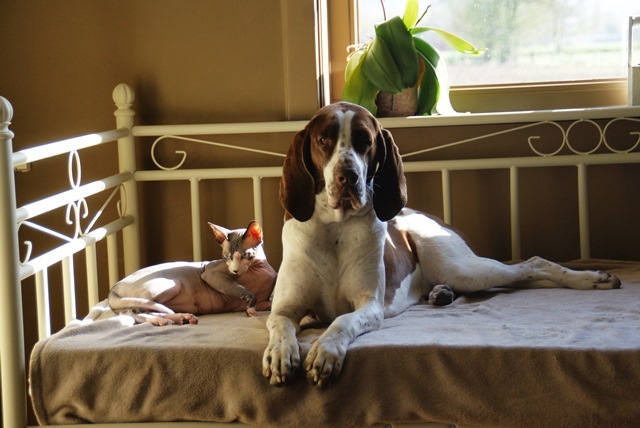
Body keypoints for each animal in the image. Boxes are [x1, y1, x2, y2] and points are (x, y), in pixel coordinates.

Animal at [108, 221, 277, 326]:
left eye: (245, 255)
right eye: (225, 258)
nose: (234, 270)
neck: (258, 268)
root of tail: (113, 288)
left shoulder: (265, 302)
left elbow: (272, 304)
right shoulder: (210, 274)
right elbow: (243, 289)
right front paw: (250, 307)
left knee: (145, 311)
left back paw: (181, 317)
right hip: (169, 286)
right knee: (133, 312)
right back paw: (163, 321)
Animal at [261, 102, 621, 387]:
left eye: (365, 141)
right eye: (324, 140)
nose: (347, 176)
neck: (334, 230)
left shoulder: (369, 306)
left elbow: (342, 321)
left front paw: (326, 351)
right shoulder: (286, 307)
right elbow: (279, 325)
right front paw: (281, 354)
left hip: (461, 267)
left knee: (531, 265)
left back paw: (591, 279)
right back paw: (441, 294)